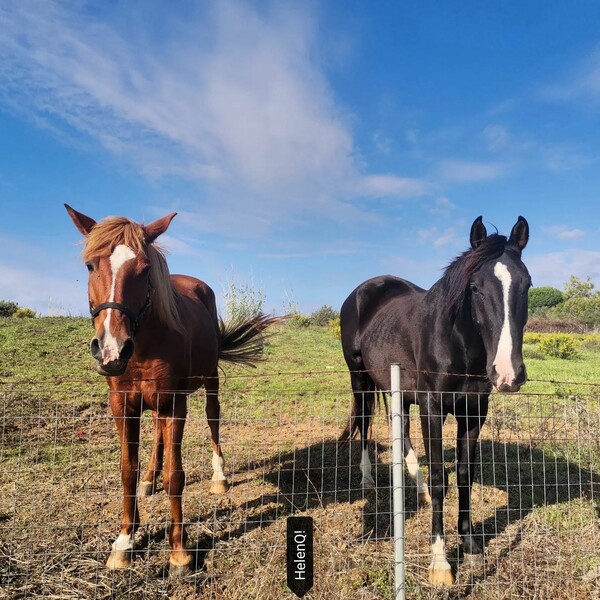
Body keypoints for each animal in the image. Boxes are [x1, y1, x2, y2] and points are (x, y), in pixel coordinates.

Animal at [66, 204, 278, 576]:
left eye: (145, 269)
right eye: (90, 265)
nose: (111, 349)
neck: (144, 345)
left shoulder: (174, 403)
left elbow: (176, 475)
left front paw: (180, 551)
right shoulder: (122, 404)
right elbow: (127, 470)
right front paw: (125, 541)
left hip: (209, 381)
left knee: (212, 418)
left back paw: (219, 476)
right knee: (156, 434)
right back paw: (150, 479)